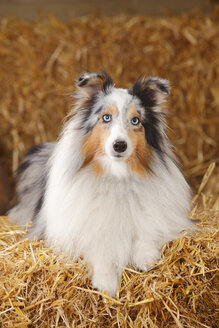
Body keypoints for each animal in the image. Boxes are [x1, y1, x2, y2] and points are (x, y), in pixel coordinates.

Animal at [8, 72, 192, 298]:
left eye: (135, 120)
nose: (119, 145)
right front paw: (106, 283)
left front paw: (146, 258)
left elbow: (147, 229)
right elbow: (98, 247)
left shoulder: (156, 216)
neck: (116, 175)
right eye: (106, 117)